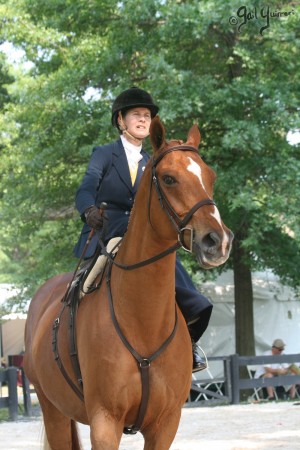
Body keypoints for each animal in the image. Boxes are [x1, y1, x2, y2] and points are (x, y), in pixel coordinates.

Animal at [24, 117, 234, 450]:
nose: (218, 241)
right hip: (52, 409)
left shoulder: (165, 425)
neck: (142, 320)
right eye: (169, 179)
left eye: (210, 176)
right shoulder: (105, 422)